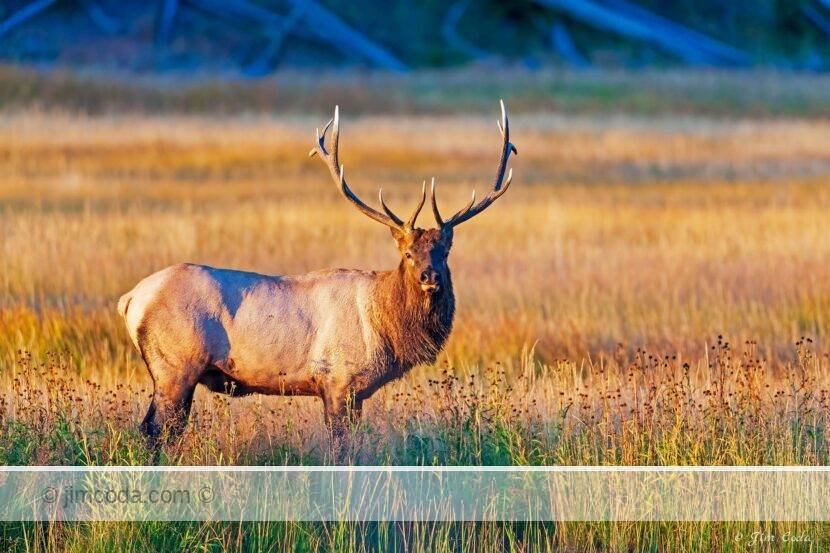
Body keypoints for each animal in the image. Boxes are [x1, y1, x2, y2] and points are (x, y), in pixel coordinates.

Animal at [118, 101, 517, 457]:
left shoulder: (354, 392)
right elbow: (341, 450)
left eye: (444, 252)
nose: (429, 276)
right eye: (407, 253)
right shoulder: (338, 380)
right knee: (154, 430)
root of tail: (131, 299)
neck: (385, 324)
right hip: (175, 365)